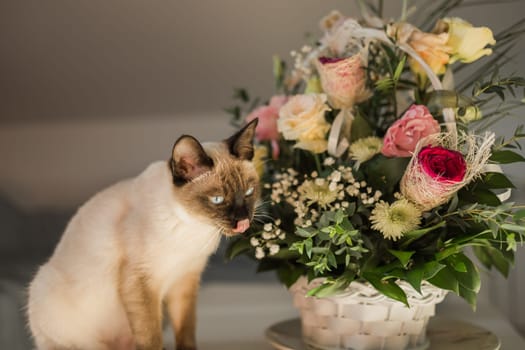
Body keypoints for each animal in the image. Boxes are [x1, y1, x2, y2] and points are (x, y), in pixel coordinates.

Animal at [26, 121, 260, 350]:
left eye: (249, 192)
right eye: (218, 200)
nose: (243, 221)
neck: (193, 227)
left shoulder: (184, 281)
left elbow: (186, 331)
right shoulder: (141, 282)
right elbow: (150, 339)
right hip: (52, 300)